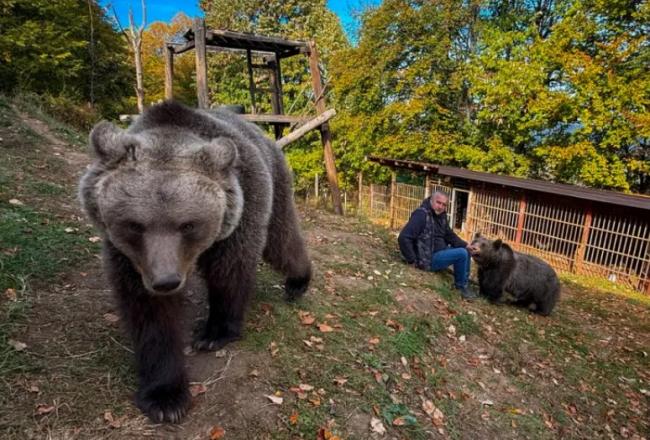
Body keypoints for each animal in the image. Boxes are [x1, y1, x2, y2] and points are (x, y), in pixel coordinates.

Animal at [79, 100, 312, 423]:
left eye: (188, 224)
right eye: (135, 225)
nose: (166, 281)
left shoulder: (241, 213)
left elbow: (229, 273)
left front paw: (214, 334)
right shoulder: (130, 259)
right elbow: (150, 314)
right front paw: (165, 397)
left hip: (276, 183)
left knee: (281, 239)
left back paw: (298, 281)